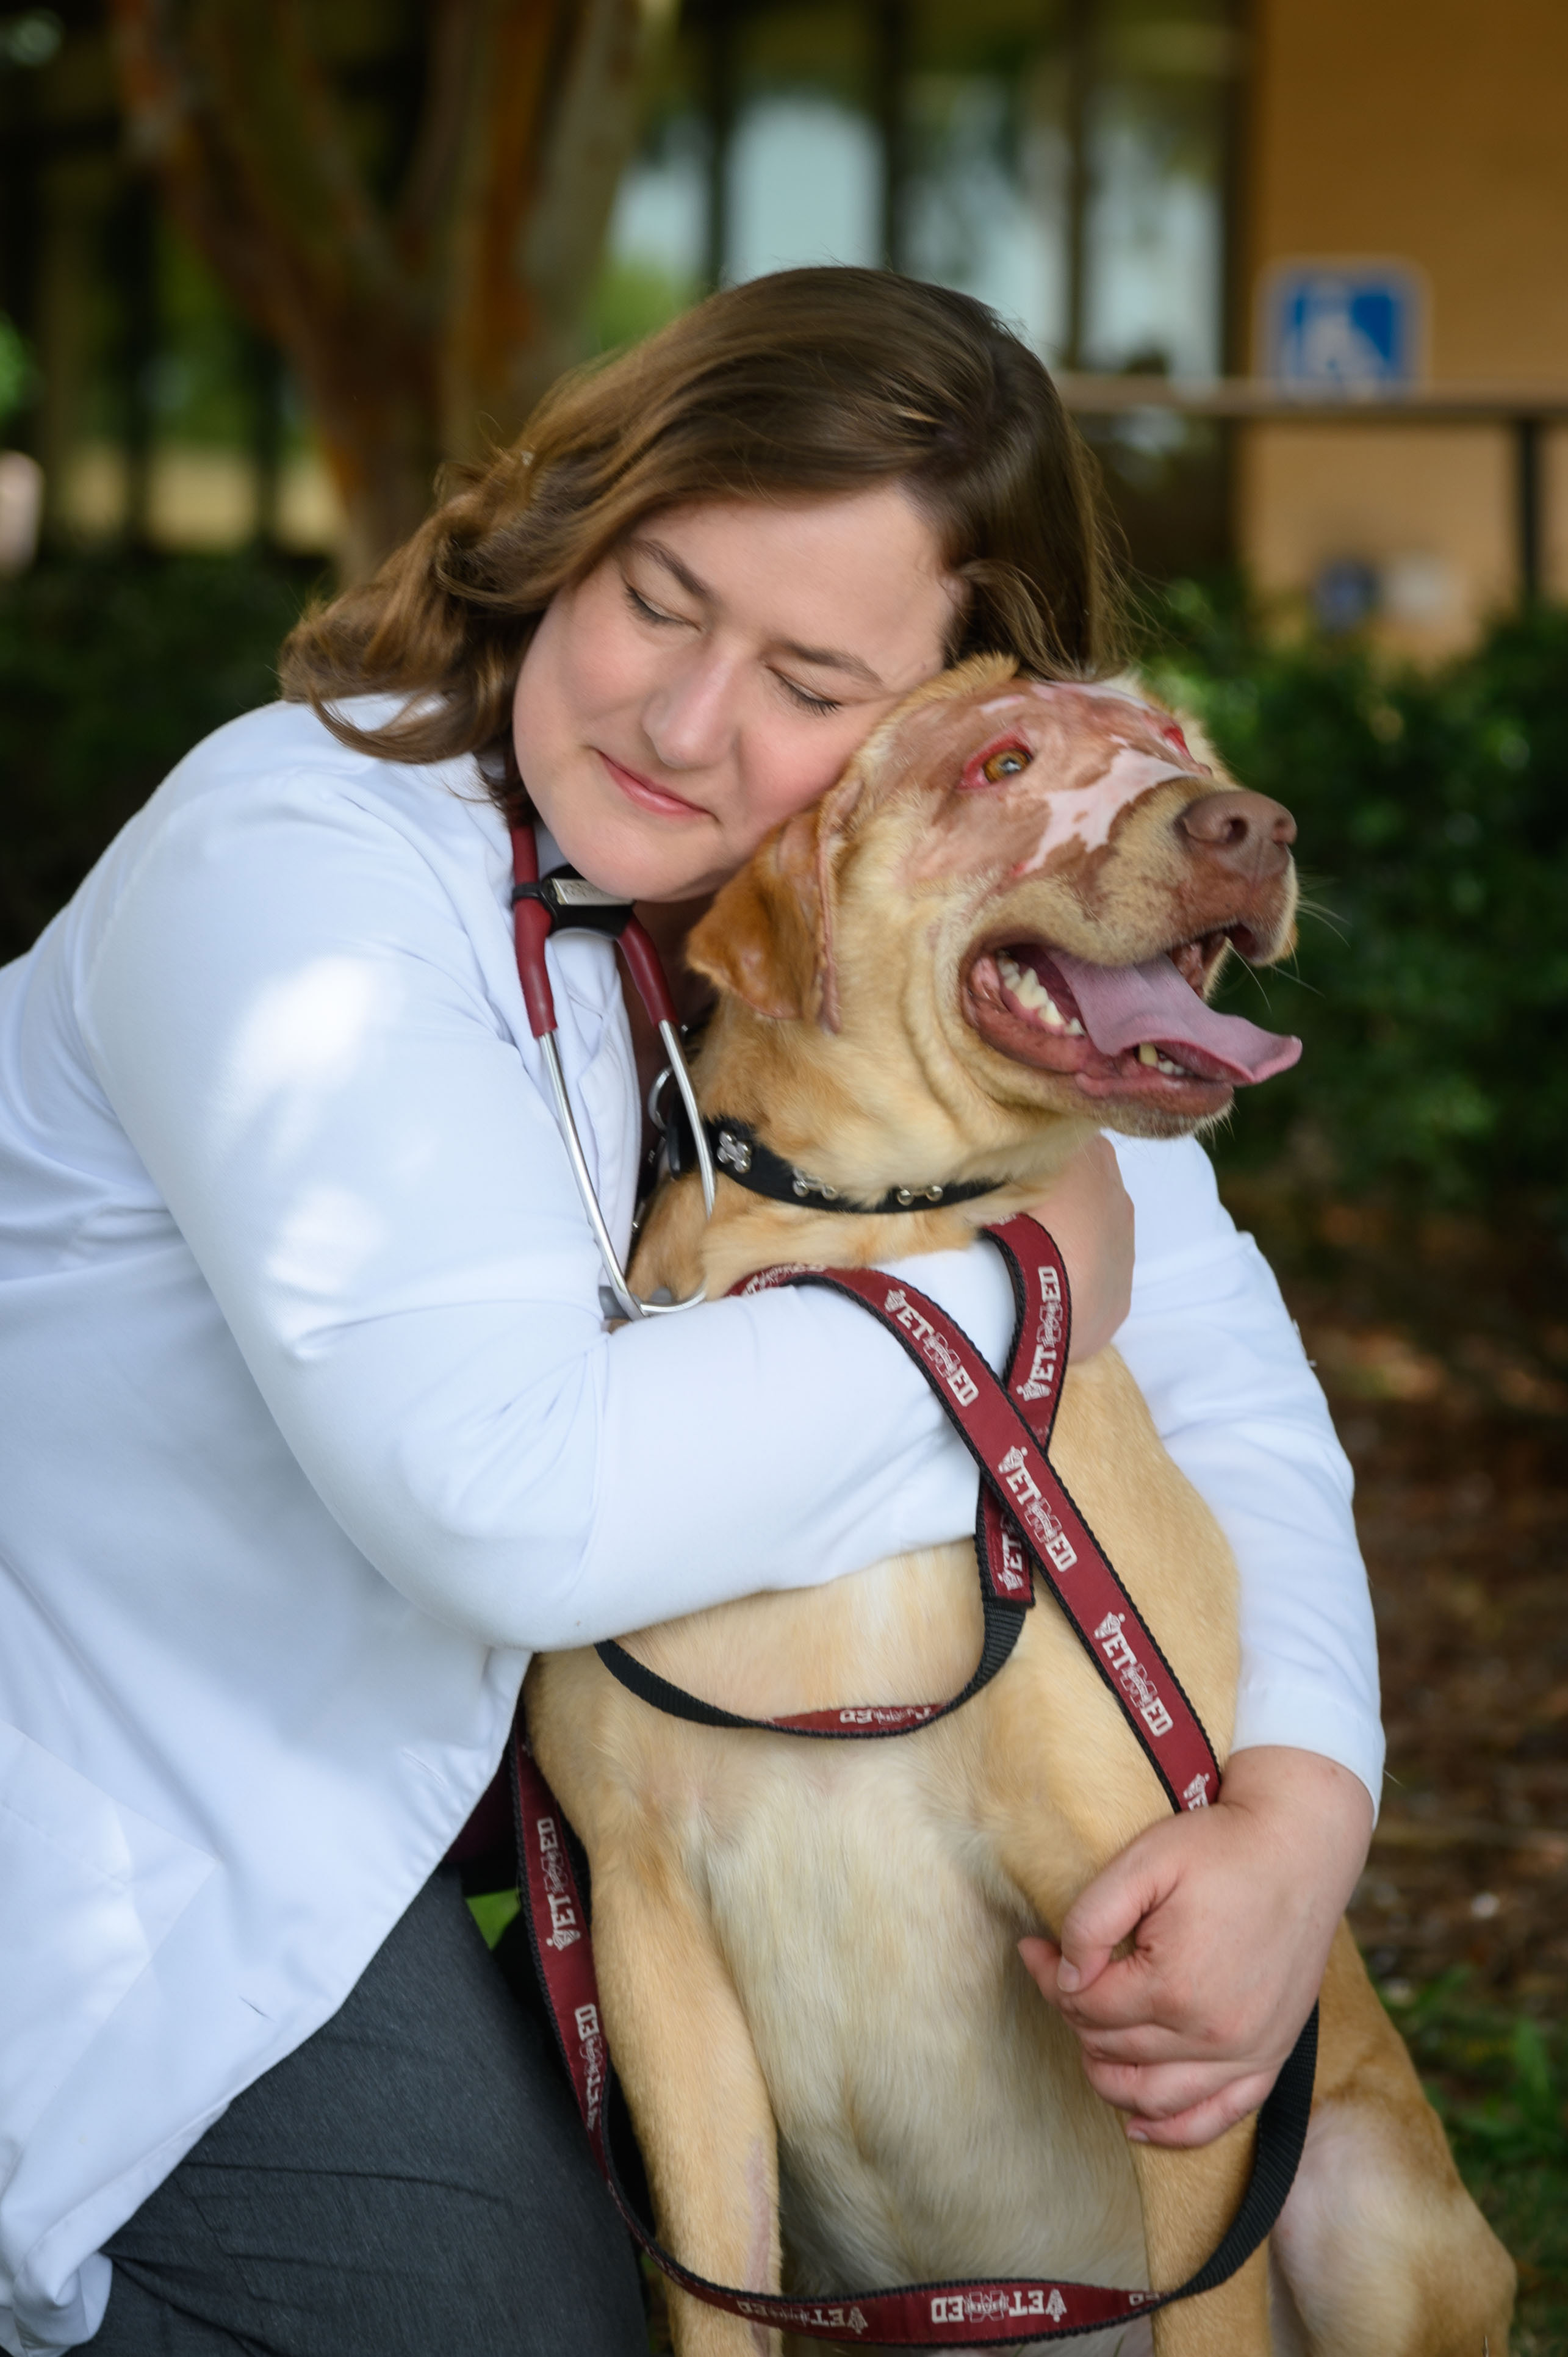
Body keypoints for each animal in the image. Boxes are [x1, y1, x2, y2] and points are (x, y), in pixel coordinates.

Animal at [523, 660, 1509, 2357]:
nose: (1255, 826)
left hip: (1371, 2200)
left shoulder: (1157, 1979)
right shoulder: (650, 1946)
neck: (868, 1274)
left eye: (1177, 746)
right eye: (999, 763)